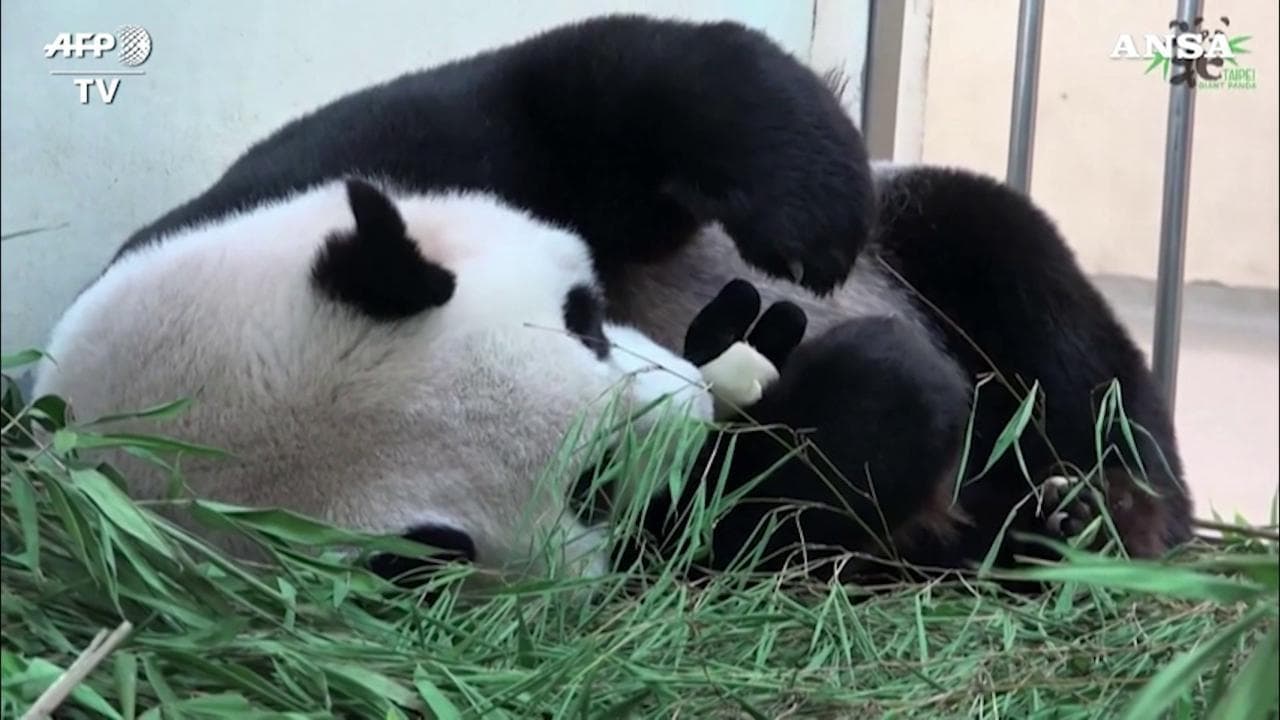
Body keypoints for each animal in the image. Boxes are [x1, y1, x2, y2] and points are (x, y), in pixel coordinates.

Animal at [36, 14, 1192, 585]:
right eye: (594, 490)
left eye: (584, 318)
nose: (690, 397)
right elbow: (762, 519)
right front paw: (873, 387)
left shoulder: (372, 158)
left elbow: (593, 83)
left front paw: (806, 225)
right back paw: (1037, 523)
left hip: (933, 243)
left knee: (1019, 275)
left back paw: (1117, 507)